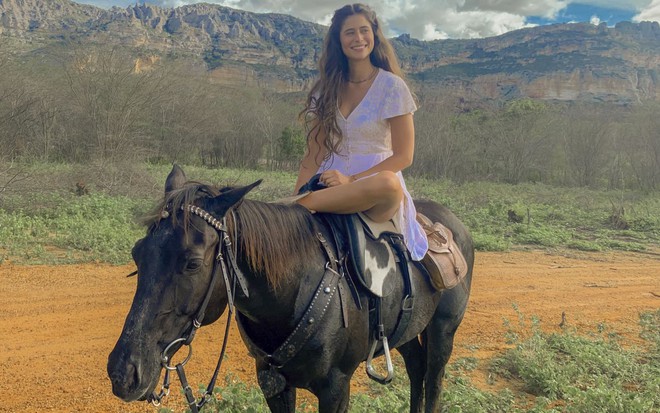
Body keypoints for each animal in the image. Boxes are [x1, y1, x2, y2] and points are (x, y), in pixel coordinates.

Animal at [108, 165, 472, 412]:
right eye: (137, 254)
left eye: (193, 264)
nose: (123, 371)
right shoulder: (273, 385)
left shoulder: (336, 388)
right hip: (406, 331)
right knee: (416, 368)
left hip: (443, 330)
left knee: (433, 379)